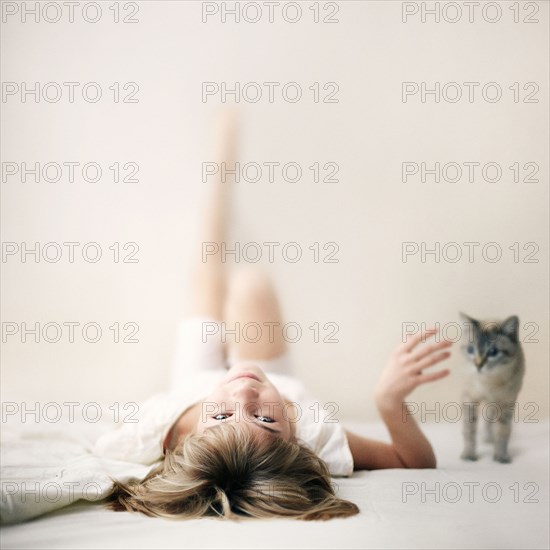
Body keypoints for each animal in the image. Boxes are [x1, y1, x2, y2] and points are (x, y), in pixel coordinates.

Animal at [462, 312, 528, 464]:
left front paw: (501, 456)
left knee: (490, 421)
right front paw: (468, 455)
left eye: (493, 352)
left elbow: (503, 432)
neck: (489, 382)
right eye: (470, 350)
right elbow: (469, 431)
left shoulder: (506, 404)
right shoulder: (470, 399)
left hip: (495, 405)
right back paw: (487, 439)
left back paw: (490, 439)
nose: (478, 365)